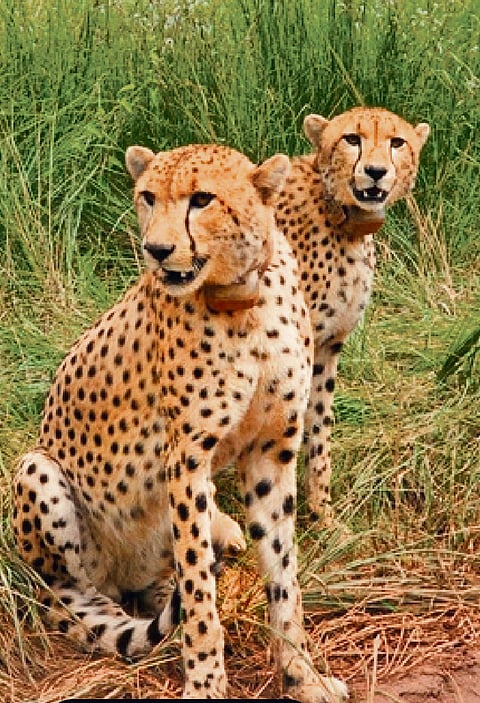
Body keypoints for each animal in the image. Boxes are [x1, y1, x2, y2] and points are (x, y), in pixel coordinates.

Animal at [12, 142, 348, 702]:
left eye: (202, 199)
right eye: (148, 196)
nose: (157, 249)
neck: (241, 301)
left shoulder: (273, 450)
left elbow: (283, 572)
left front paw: (302, 674)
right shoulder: (187, 458)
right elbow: (199, 592)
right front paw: (207, 683)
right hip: (38, 472)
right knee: (85, 594)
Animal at [276, 106, 430, 524]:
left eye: (397, 142)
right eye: (352, 139)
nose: (375, 171)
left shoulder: (328, 345)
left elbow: (319, 426)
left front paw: (322, 513)